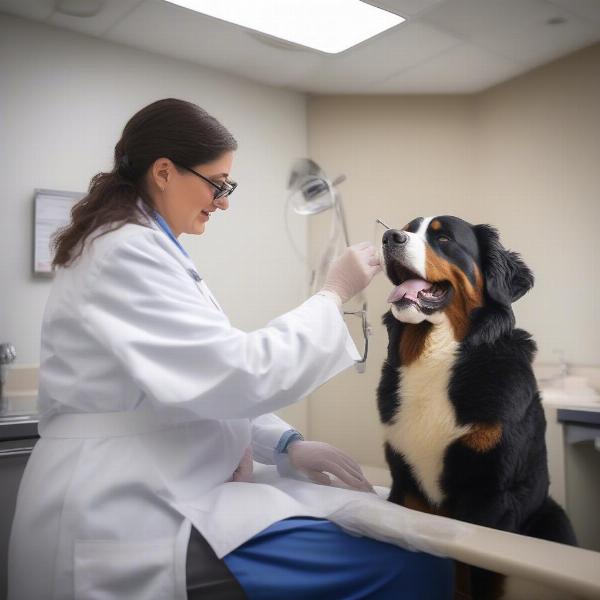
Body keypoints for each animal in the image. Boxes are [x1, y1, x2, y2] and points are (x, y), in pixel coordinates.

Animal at [378, 217, 580, 600]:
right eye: (407, 227)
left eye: (443, 237)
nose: (389, 237)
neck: (438, 355)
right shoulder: (404, 482)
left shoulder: (490, 495)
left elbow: (474, 577)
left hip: (553, 520)